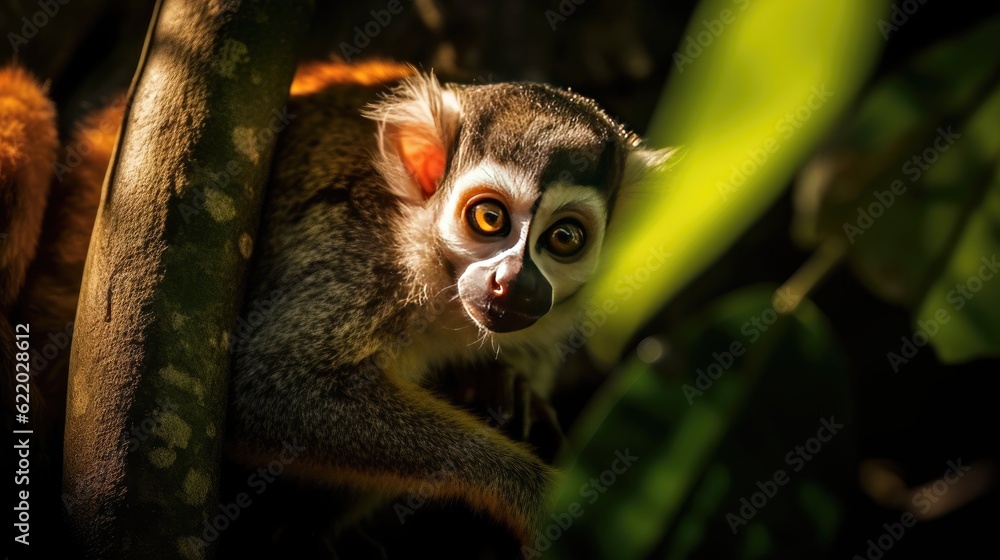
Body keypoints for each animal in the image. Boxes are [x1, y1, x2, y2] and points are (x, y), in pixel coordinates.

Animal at [0, 59, 670, 549]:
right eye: (489, 218)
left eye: (564, 238)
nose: (515, 283)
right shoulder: (358, 258)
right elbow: (267, 386)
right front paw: (524, 487)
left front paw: (511, 388)